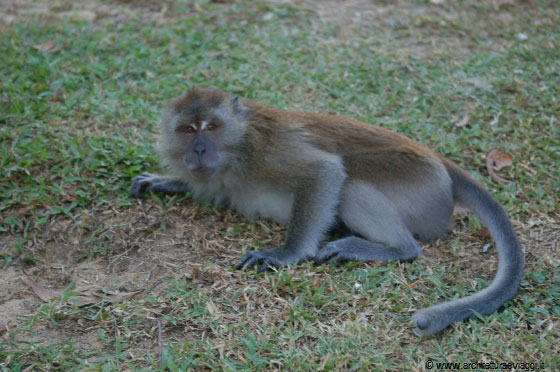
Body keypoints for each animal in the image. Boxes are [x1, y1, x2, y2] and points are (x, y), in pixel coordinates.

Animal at [131, 88, 524, 338]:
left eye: (211, 127)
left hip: (419, 186)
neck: (237, 149)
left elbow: (324, 171)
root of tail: (441, 165)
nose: (198, 150)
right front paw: (164, 182)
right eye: (186, 130)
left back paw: (391, 248)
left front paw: (286, 254)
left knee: (350, 182)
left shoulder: (267, 151)